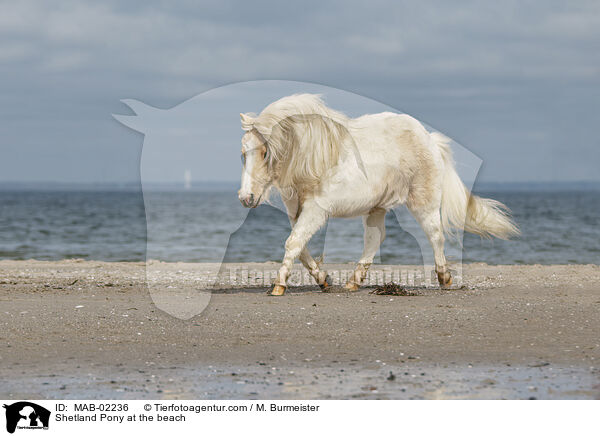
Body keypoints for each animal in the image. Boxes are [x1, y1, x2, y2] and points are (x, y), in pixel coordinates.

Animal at [237, 93, 516, 294]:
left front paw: (278, 286)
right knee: (375, 238)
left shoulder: (316, 210)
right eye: (243, 154)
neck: (313, 158)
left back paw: (444, 278)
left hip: (423, 202)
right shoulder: (297, 212)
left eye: (265, 152)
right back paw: (353, 281)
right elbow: (301, 247)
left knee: (435, 235)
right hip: (376, 207)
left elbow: (293, 243)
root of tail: (429, 139)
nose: (245, 198)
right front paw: (324, 279)